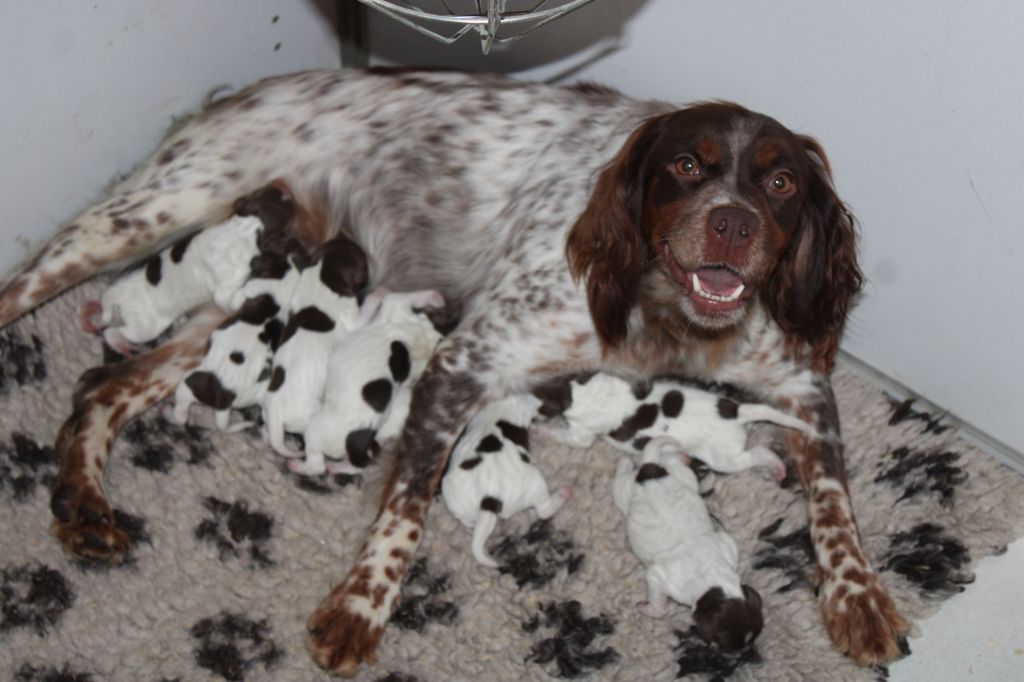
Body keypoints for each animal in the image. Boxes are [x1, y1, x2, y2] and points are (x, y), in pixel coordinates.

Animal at [290, 286, 446, 473]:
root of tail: (361, 440)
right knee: (357, 467)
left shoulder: (394, 303)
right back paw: (337, 467)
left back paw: (298, 465)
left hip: (315, 432)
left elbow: (402, 297)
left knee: (317, 465)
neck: (420, 337)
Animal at [440, 391, 573, 565]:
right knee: (544, 510)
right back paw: (563, 493)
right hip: (535, 483)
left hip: (451, 494)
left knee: (466, 520)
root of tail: (488, 499)